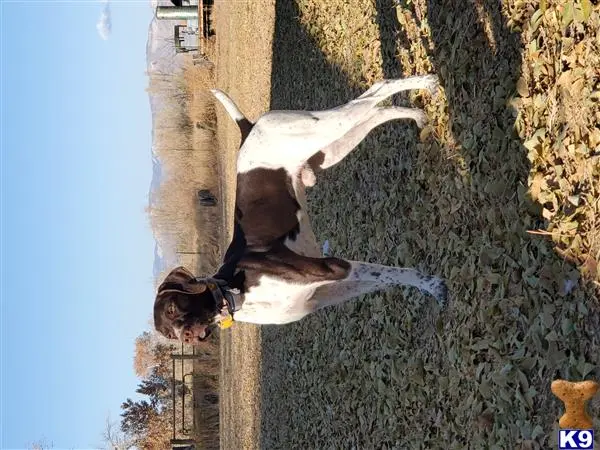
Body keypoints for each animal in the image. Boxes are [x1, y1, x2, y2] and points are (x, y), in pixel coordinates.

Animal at [154, 75, 446, 342]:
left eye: (172, 309)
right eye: (168, 333)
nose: (187, 336)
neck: (235, 292)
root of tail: (248, 129)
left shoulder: (333, 267)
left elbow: (394, 273)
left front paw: (433, 285)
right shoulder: (326, 293)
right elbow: (387, 278)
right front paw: (428, 286)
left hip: (324, 128)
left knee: (375, 91)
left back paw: (428, 84)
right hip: (329, 150)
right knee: (377, 110)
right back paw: (418, 115)